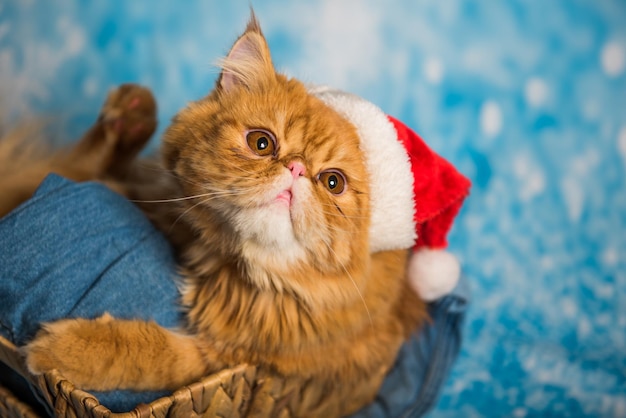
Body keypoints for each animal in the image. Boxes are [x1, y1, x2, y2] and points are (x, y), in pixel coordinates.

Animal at [14, 13, 426, 418]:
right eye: (262, 143)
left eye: (333, 182)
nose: (295, 169)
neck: (226, 262)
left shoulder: (222, 359)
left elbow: (143, 350)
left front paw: (62, 349)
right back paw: (131, 113)